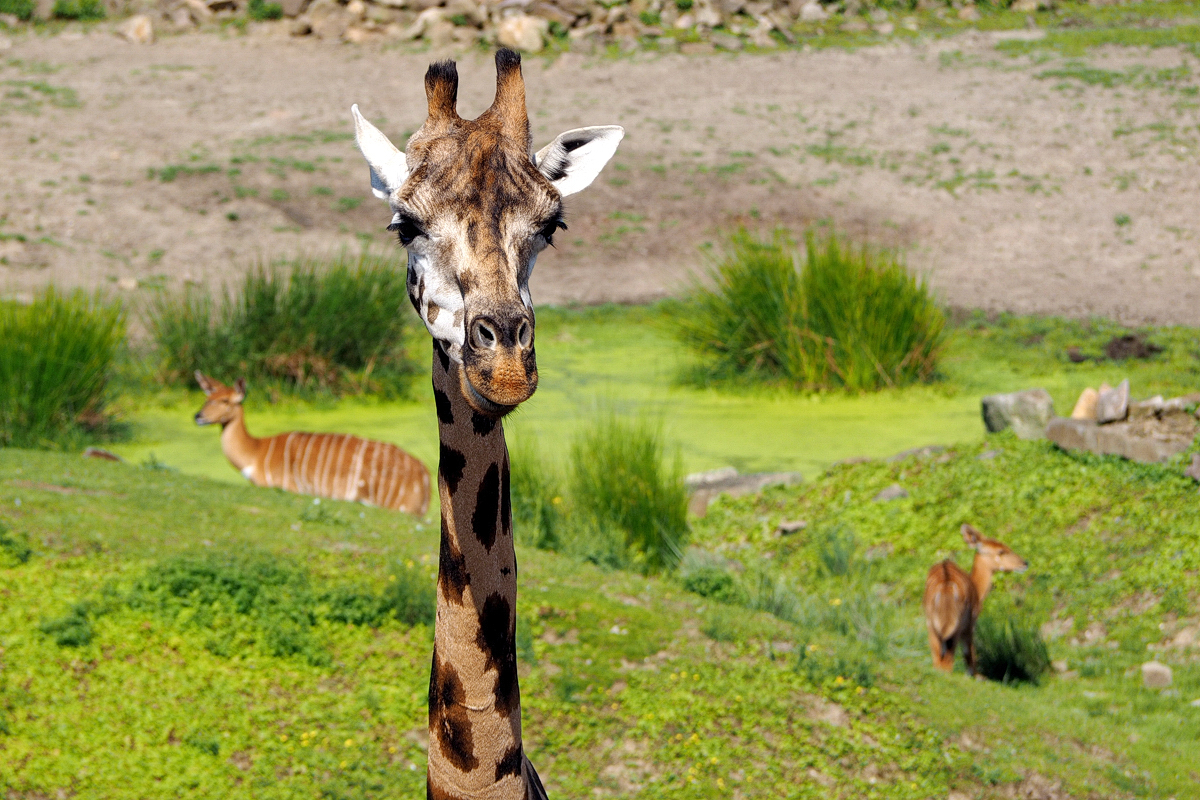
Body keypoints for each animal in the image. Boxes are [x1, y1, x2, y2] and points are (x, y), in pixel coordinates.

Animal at [196, 371, 436, 515]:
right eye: (207, 398)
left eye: (225, 400)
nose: (198, 416)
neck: (257, 452)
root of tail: (424, 474)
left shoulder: (289, 487)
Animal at [921, 525, 1027, 676]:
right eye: (1001, 551)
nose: (1024, 563)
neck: (977, 589)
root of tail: (945, 587)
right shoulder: (970, 624)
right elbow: (970, 656)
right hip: (956, 626)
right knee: (948, 662)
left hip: (931, 624)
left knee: (937, 660)